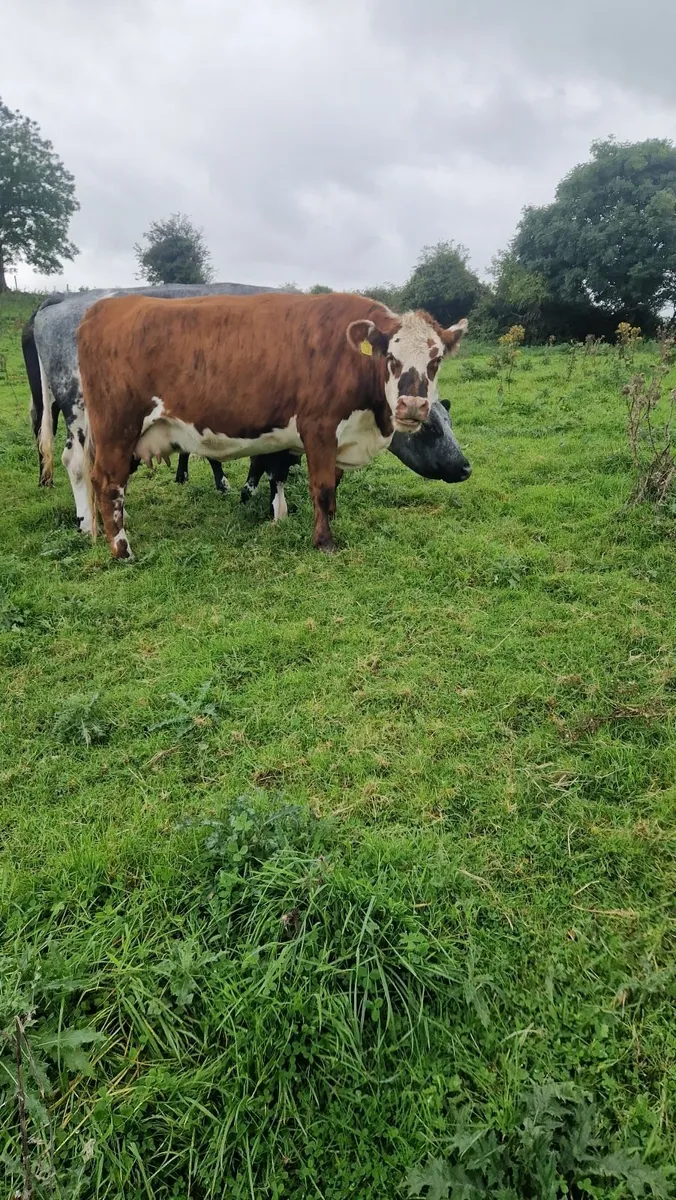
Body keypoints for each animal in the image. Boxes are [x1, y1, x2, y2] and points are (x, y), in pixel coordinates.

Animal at [23, 282, 285, 532]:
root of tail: (64, 298)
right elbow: (274, 466)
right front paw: (275, 511)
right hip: (79, 409)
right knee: (76, 462)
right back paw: (87, 523)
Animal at [76, 290, 468, 559]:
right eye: (390, 357)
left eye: (436, 361)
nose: (412, 405)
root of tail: (105, 307)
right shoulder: (318, 428)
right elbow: (322, 486)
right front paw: (324, 541)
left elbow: (324, 484)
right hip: (117, 429)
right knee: (107, 484)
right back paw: (123, 551)